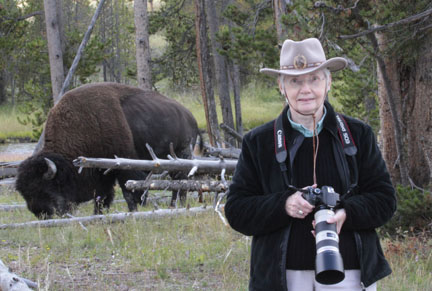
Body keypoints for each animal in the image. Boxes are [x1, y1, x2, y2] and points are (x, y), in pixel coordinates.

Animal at [15, 82, 201, 219]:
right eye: (25, 193)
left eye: (44, 188)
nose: (40, 213)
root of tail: (190, 116)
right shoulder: (101, 173)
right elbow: (102, 196)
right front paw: (98, 214)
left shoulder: (123, 167)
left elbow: (128, 192)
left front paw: (133, 212)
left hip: (181, 154)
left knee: (180, 183)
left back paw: (176, 205)